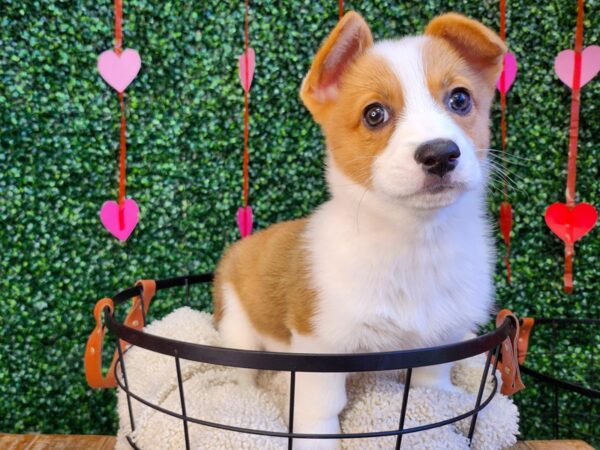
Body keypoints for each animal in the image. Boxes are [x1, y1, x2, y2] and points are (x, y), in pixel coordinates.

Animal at [213, 11, 504, 450]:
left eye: (460, 99)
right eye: (374, 114)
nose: (440, 154)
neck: (415, 242)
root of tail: (240, 248)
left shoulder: (440, 341)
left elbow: (432, 388)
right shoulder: (321, 349)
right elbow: (319, 415)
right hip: (239, 332)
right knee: (242, 376)